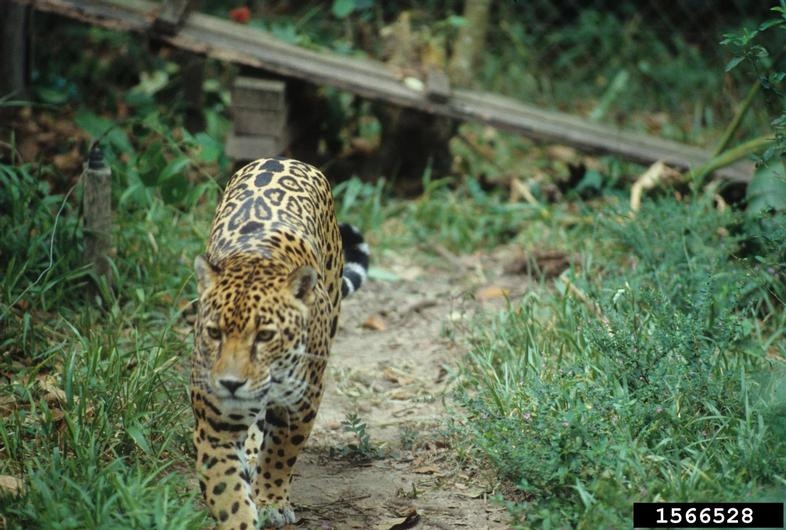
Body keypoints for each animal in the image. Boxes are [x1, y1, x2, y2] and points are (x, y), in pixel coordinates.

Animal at [190, 157, 369, 529]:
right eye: (214, 333)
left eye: (265, 336)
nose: (231, 384)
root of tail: (285, 159)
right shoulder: (215, 425)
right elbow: (227, 492)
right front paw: (245, 513)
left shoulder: (302, 401)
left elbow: (282, 452)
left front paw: (271, 500)